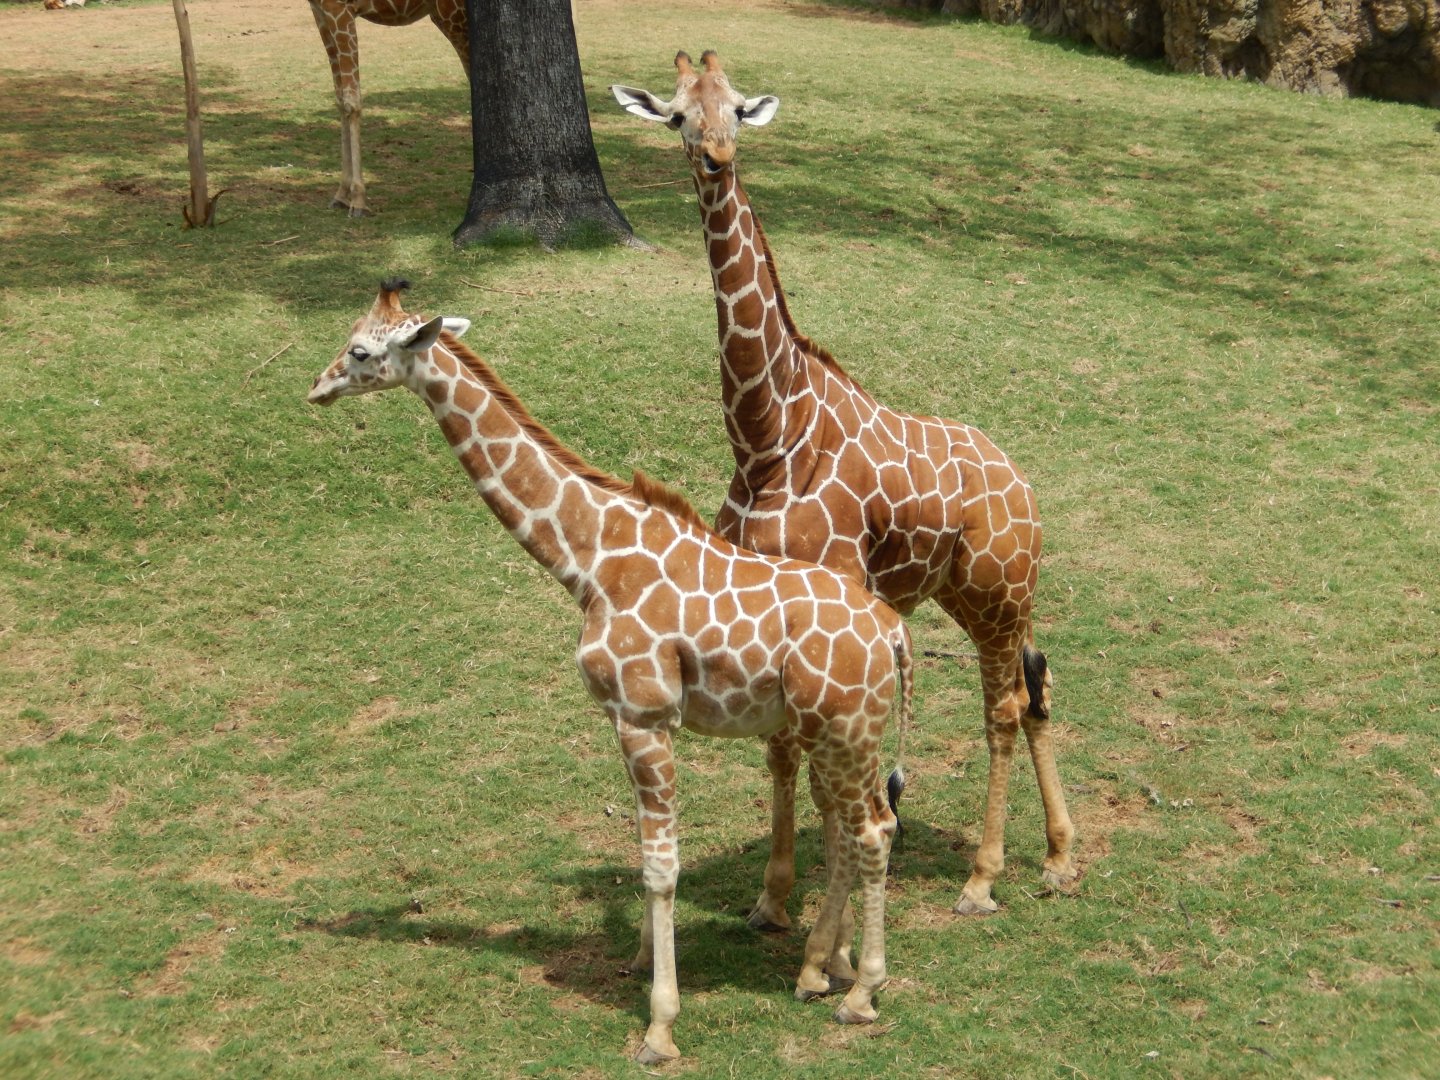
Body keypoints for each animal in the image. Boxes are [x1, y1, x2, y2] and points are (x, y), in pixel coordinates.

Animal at [306, 1, 468, 216]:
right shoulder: (321, 12)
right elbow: (341, 100)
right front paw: (341, 195)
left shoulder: (341, 9)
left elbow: (352, 102)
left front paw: (358, 201)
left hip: (453, 18)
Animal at [307, 279, 915, 1064]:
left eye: (360, 350)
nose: (317, 387)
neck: (589, 561)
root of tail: (894, 633)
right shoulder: (624, 721)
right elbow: (642, 854)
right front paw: (639, 961)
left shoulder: (645, 715)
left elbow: (661, 865)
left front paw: (659, 1027)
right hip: (835, 730)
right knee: (849, 827)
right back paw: (817, 970)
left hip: (846, 727)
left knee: (873, 830)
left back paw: (861, 992)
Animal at [612, 52, 1078, 919]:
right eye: (678, 115)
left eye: (735, 108)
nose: (716, 158)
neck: (767, 434)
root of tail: (1022, 484)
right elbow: (779, 752)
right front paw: (772, 900)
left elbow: (815, 760)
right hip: (981, 595)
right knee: (1035, 685)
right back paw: (1061, 857)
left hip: (999, 593)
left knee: (1000, 707)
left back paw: (983, 877)